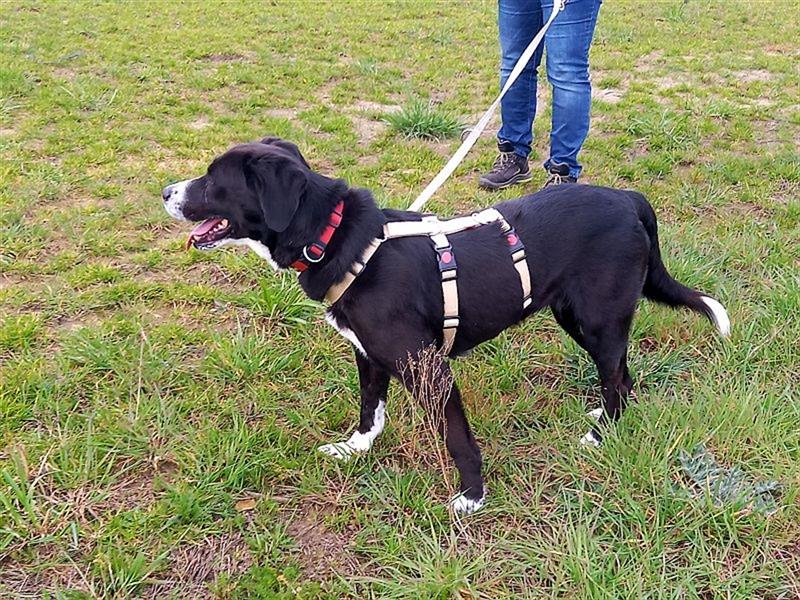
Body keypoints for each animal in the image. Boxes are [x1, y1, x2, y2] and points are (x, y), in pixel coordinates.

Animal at [162, 137, 732, 516]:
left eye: (213, 180)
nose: (166, 191)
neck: (339, 239)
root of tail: (629, 198)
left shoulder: (428, 368)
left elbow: (457, 438)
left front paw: (472, 497)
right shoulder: (368, 354)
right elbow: (370, 410)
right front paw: (356, 449)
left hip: (595, 317)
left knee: (615, 375)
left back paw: (599, 435)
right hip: (578, 316)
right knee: (623, 374)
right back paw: (604, 420)